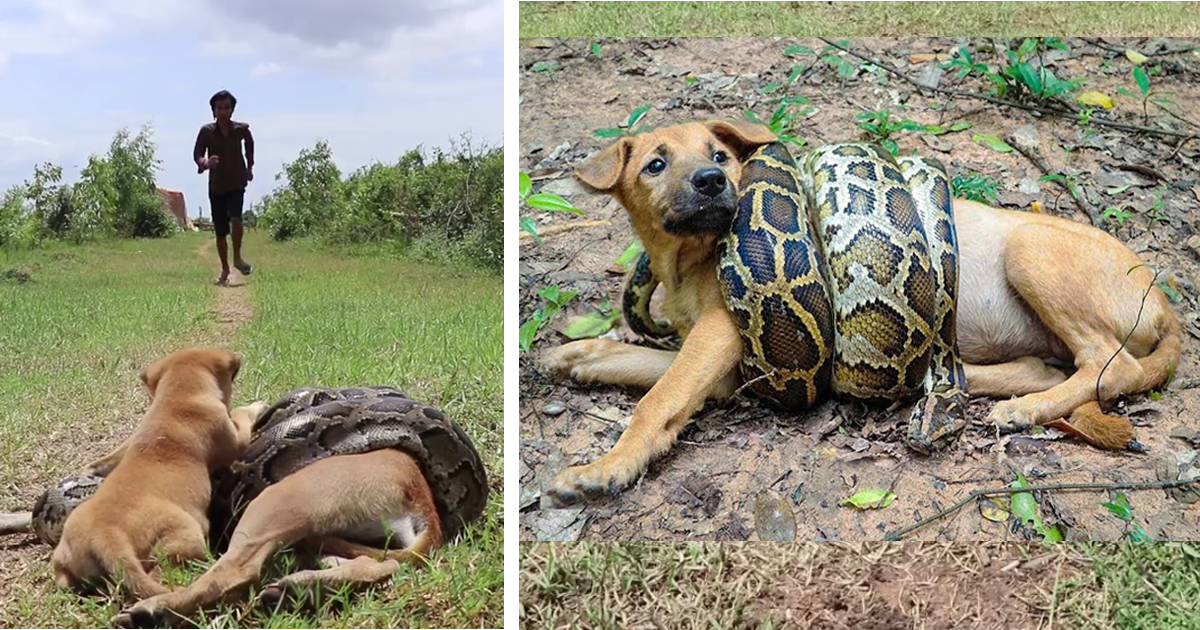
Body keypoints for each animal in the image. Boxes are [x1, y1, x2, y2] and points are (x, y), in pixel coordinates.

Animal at [51, 345, 250, 597]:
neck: (177, 396)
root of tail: (105, 535)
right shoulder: (234, 438)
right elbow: (243, 416)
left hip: (63, 555)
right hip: (187, 534)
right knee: (163, 570)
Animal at [542, 120, 1180, 506]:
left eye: (719, 154)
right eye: (654, 165)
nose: (712, 179)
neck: (681, 260)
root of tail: (1164, 300)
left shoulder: (722, 333)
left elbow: (660, 398)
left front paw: (608, 466)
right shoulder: (727, 370)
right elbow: (650, 368)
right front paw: (583, 353)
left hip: (1030, 251)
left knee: (1110, 364)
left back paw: (1025, 410)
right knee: (1039, 366)